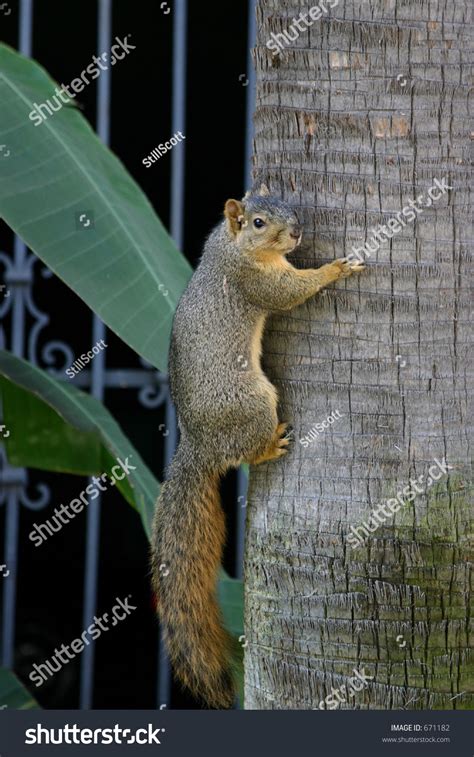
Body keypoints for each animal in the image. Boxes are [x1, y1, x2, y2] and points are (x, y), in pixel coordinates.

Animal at [151, 184, 365, 708]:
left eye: (289, 206)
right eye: (259, 223)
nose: (299, 231)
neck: (231, 248)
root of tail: (199, 446)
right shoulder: (254, 282)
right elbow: (288, 293)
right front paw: (334, 269)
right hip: (255, 401)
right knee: (244, 450)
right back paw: (270, 446)